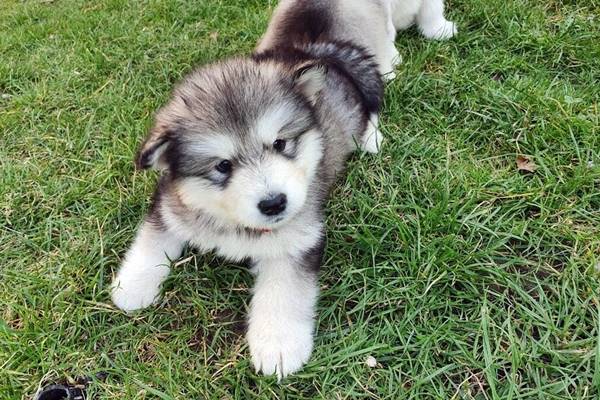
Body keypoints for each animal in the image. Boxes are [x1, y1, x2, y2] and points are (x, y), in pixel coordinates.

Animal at [111, 0, 454, 378]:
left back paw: (371, 139)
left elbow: (284, 290)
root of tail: (314, 50)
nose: (275, 203)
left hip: (363, 86)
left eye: (280, 144)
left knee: (372, 107)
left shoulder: (299, 237)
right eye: (222, 166)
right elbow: (152, 240)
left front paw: (278, 344)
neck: (235, 222)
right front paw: (133, 286)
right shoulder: (171, 204)